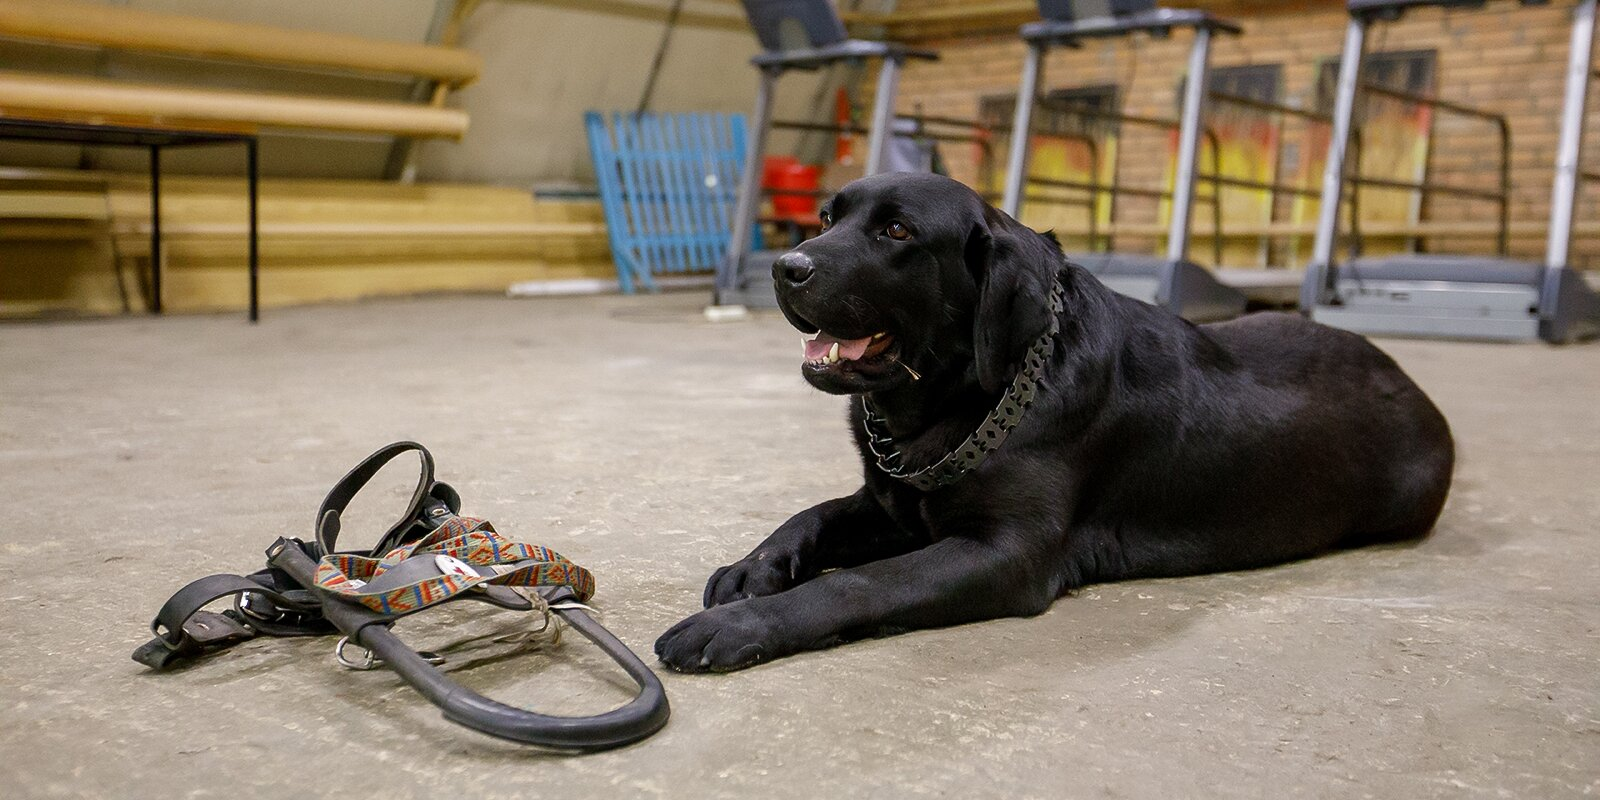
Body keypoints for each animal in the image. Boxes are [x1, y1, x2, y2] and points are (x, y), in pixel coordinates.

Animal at [656, 172, 1459, 672]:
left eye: (897, 231)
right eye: (828, 218)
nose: (785, 267)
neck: (964, 400)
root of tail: (1415, 386)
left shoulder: (1005, 552)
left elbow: (856, 585)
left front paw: (737, 628)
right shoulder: (894, 501)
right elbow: (815, 513)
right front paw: (756, 568)